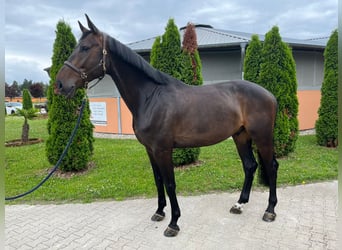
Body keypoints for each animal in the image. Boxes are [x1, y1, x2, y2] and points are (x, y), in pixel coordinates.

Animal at [54, 14, 280, 237]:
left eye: (85, 48)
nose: (60, 84)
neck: (150, 98)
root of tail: (269, 94)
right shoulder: (150, 149)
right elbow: (158, 180)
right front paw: (159, 212)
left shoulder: (163, 149)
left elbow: (170, 184)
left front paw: (173, 223)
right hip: (240, 136)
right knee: (250, 166)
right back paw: (239, 204)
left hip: (262, 136)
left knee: (272, 166)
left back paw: (270, 211)